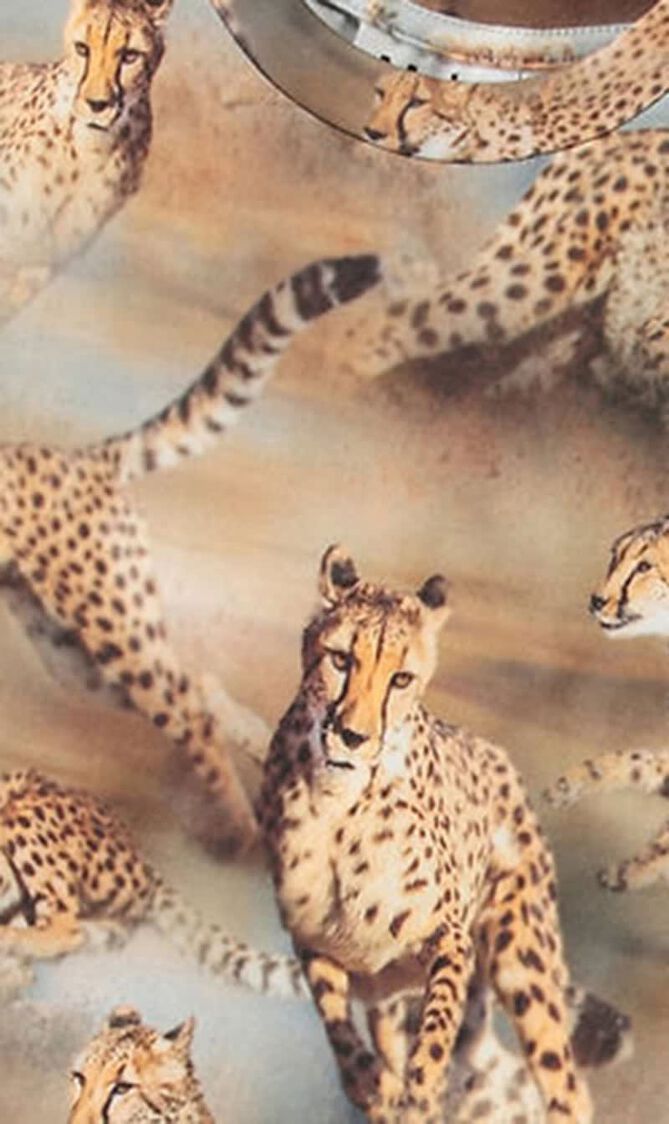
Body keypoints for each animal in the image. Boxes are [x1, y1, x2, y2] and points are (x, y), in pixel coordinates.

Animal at [0, 253, 381, 856]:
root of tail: (90, 456)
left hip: (114, 632)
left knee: (188, 707)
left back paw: (232, 828)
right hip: (73, 655)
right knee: (195, 691)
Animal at [259, 545, 611, 1123]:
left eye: (401, 679)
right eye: (341, 660)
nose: (353, 736)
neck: (340, 806)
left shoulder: (449, 939)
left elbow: (437, 1032)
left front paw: (418, 1098)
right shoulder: (313, 942)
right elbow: (341, 1033)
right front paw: (373, 1088)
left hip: (522, 960)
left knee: (565, 1084)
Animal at [545, 513, 669, 893]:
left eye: (644, 566)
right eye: (615, 556)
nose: (596, 601)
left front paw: (633, 870)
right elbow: (639, 760)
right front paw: (571, 783)